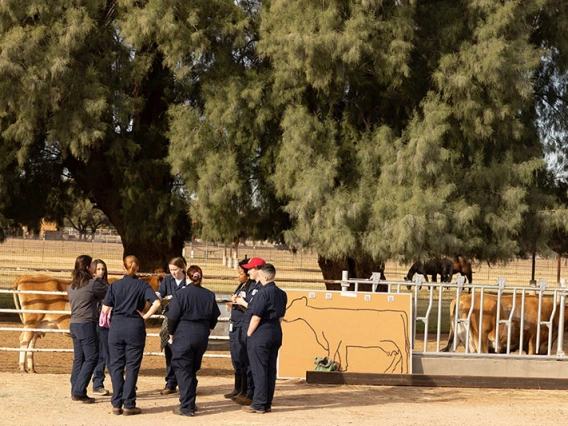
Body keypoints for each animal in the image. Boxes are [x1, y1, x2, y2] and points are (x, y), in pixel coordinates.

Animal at [13, 272, 163, 372]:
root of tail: (26, 277)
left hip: (38, 324)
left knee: (31, 342)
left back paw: (31, 368)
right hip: (31, 320)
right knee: (24, 339)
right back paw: (22, 367)